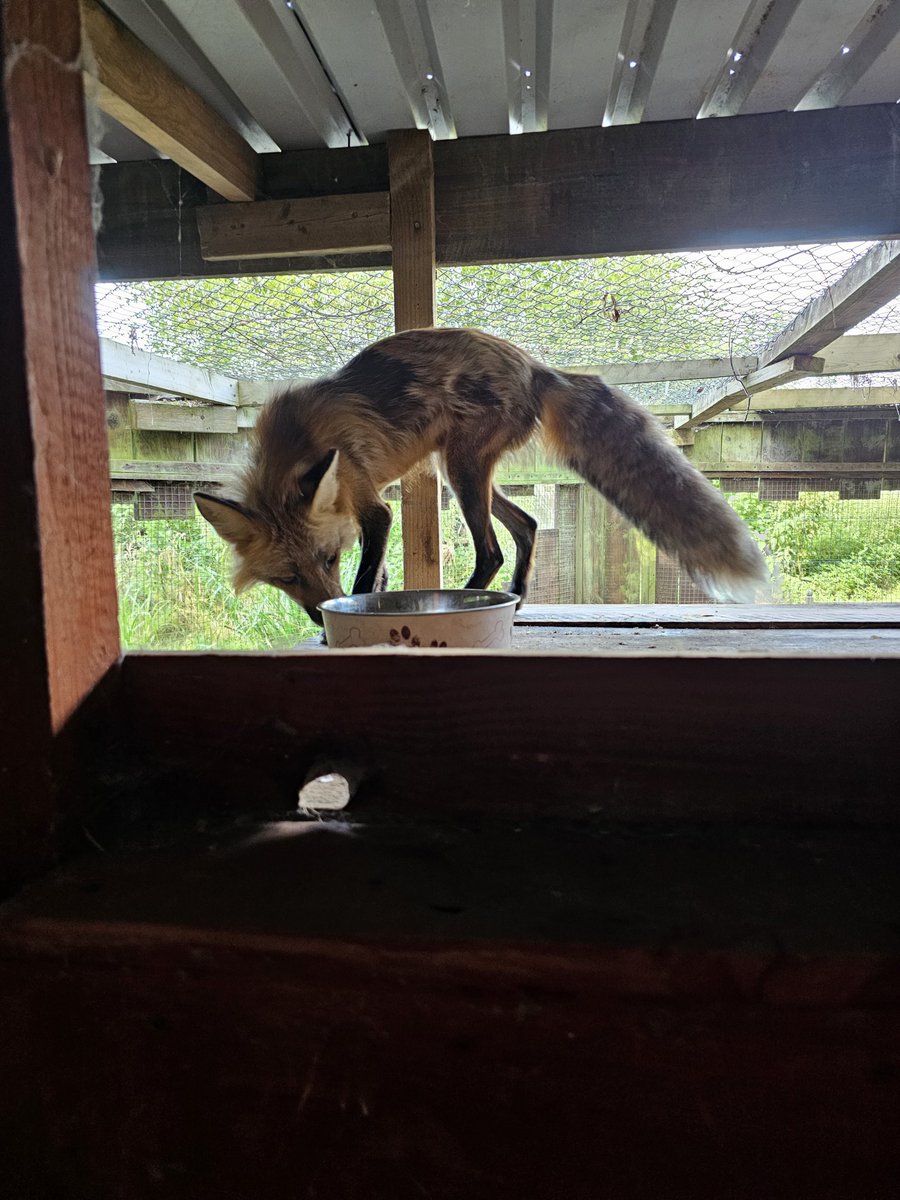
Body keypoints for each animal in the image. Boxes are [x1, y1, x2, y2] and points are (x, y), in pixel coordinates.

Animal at [195, 326, 769, 625]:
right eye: (287, 578)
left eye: (329, 560)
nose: (319, 617)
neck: (297, 442)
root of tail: (537, 367)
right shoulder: (358, 506)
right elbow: (378, 576)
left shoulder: (370, 504)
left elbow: (366, 576)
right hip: (469, 476)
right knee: (528, 525)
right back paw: (515, 599)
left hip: (461, 469)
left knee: (491, 550)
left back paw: (469, 600)